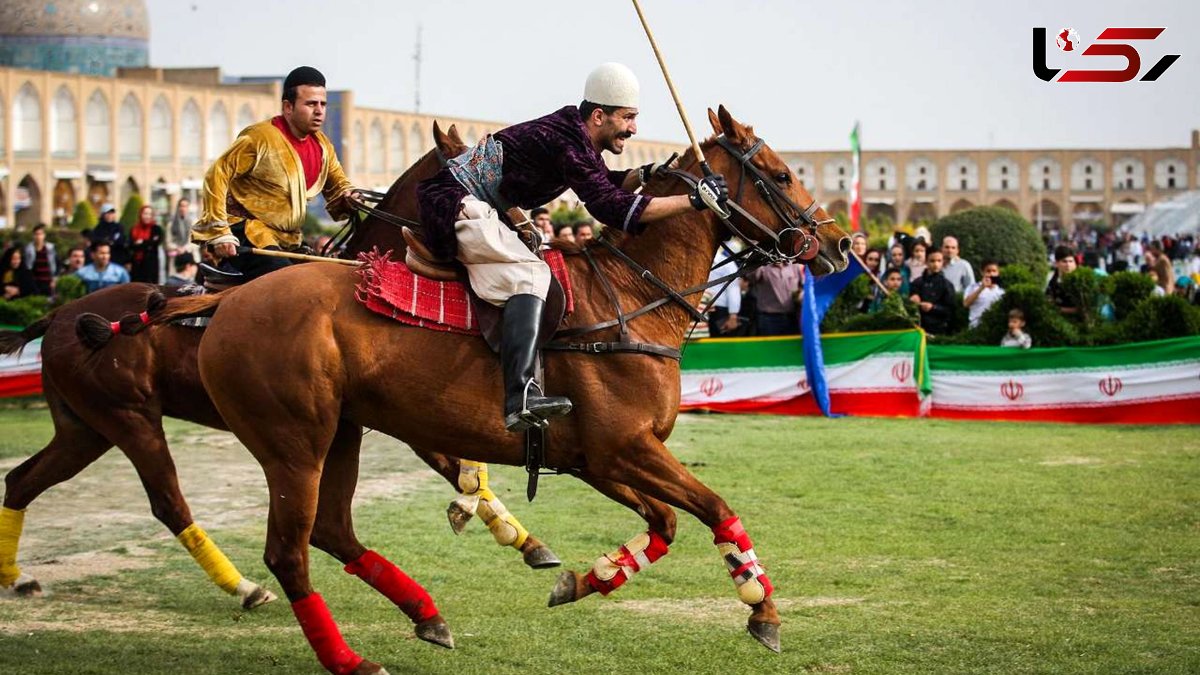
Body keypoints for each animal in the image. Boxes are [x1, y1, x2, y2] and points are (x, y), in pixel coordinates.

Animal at [0, 121, 556, 605]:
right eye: (487, 183)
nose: (534, 237)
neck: (360, 284)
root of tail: (61, 315)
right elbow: (458, 470)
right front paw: (484, 515)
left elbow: (460, 470)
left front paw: (526, 540)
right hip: (131, 420)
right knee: (168, 502)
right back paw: (244, 586)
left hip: (85, 428)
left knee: (22, 480)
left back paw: (17, 577)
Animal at [136, 107, 854, 667]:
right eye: (783, 175)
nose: (840, 245)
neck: (633, 296)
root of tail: (223, 303)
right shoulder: (625, 448)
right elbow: (714, 506)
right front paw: (763, 612)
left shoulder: (597, 457)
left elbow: (667, 520)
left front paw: (582, 579)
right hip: (291, 441)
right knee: (286, 551)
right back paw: (350, 658)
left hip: (340, 431)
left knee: (332, 530)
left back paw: (426, 614)